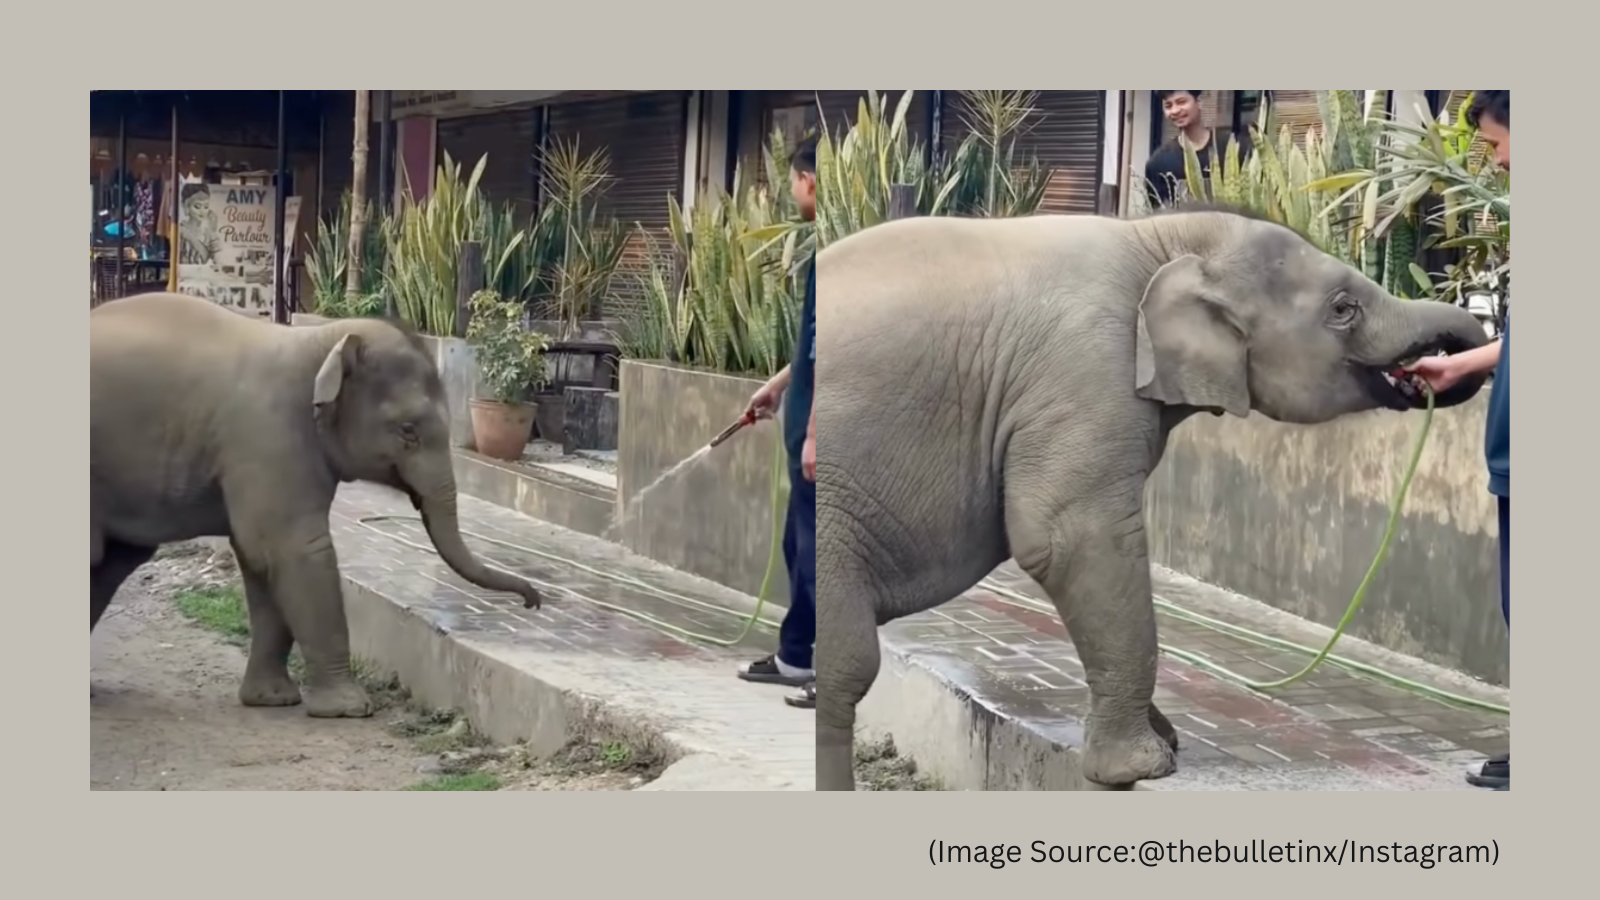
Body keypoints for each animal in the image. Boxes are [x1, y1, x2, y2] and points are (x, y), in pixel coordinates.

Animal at [90, 293, 543, 718]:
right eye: (408, 430)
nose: (532, 601)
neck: (319, 341)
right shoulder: (269, 437)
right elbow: (294, 552)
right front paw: (349, 709)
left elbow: (260, 561)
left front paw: (272, 700)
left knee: (115, 561)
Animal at [814, 206, 1492, 791]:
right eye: (1343, 308)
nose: (1434, 372)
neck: (1163, 236)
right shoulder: (1086, 373)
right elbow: (1066, 538)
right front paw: (1143, 766)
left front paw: (1164, 741)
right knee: (847, 667)